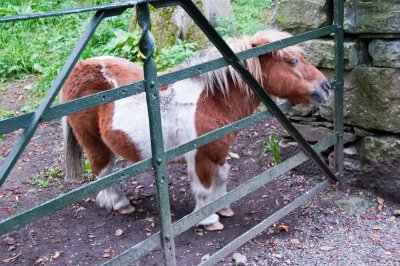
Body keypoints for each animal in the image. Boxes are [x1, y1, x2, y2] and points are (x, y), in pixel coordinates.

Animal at [61, 30, 332, 231]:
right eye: (292, 61)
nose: (326, 87)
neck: (212, 99)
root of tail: (81, 67)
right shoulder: (201, 156)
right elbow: (203, 188)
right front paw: (209, 219)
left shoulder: (219, 151)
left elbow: (221, 177)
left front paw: (222, 206)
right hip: (93, 142)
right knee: (102, 170)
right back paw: (119, 203)